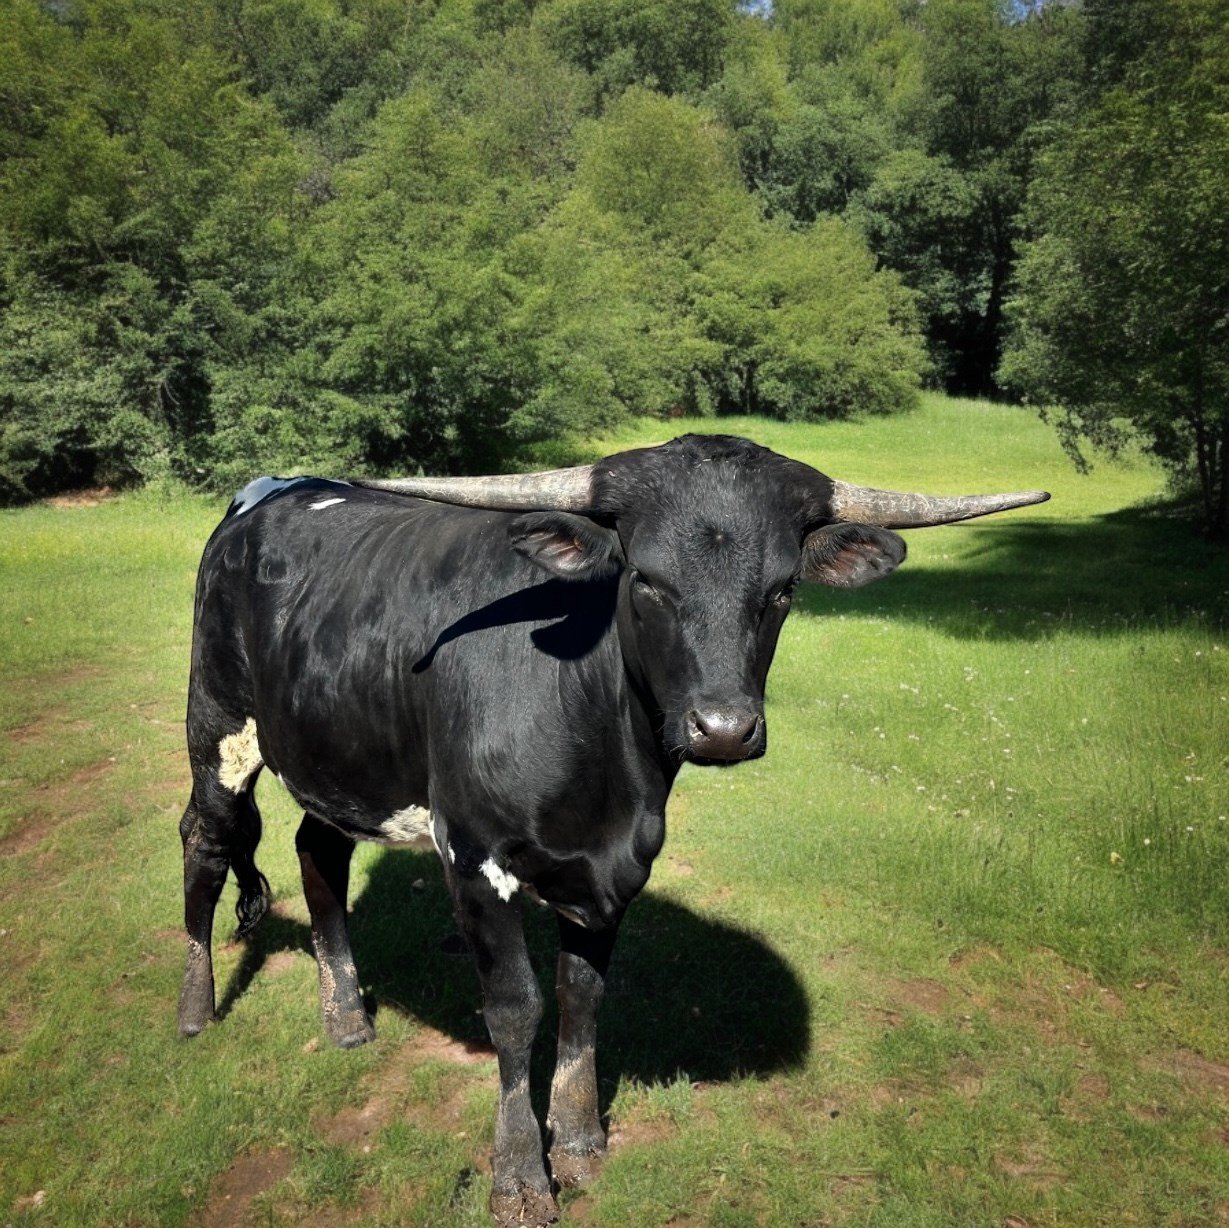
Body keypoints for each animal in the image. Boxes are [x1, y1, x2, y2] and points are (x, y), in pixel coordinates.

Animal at [177, 434, 1047, 1227]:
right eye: (647, 581)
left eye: (779, 591)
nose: (723, 729)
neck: (606, 756)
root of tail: (278, 489)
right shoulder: (474, 856)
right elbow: (515, 1008)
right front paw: (520, 1175)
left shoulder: (612, 869)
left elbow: (582, 996)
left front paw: (579, 1136)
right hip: (218, 729)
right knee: (206, 845)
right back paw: (194, 1008)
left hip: (335, 755)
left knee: (317, 850)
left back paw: (347, 1018)